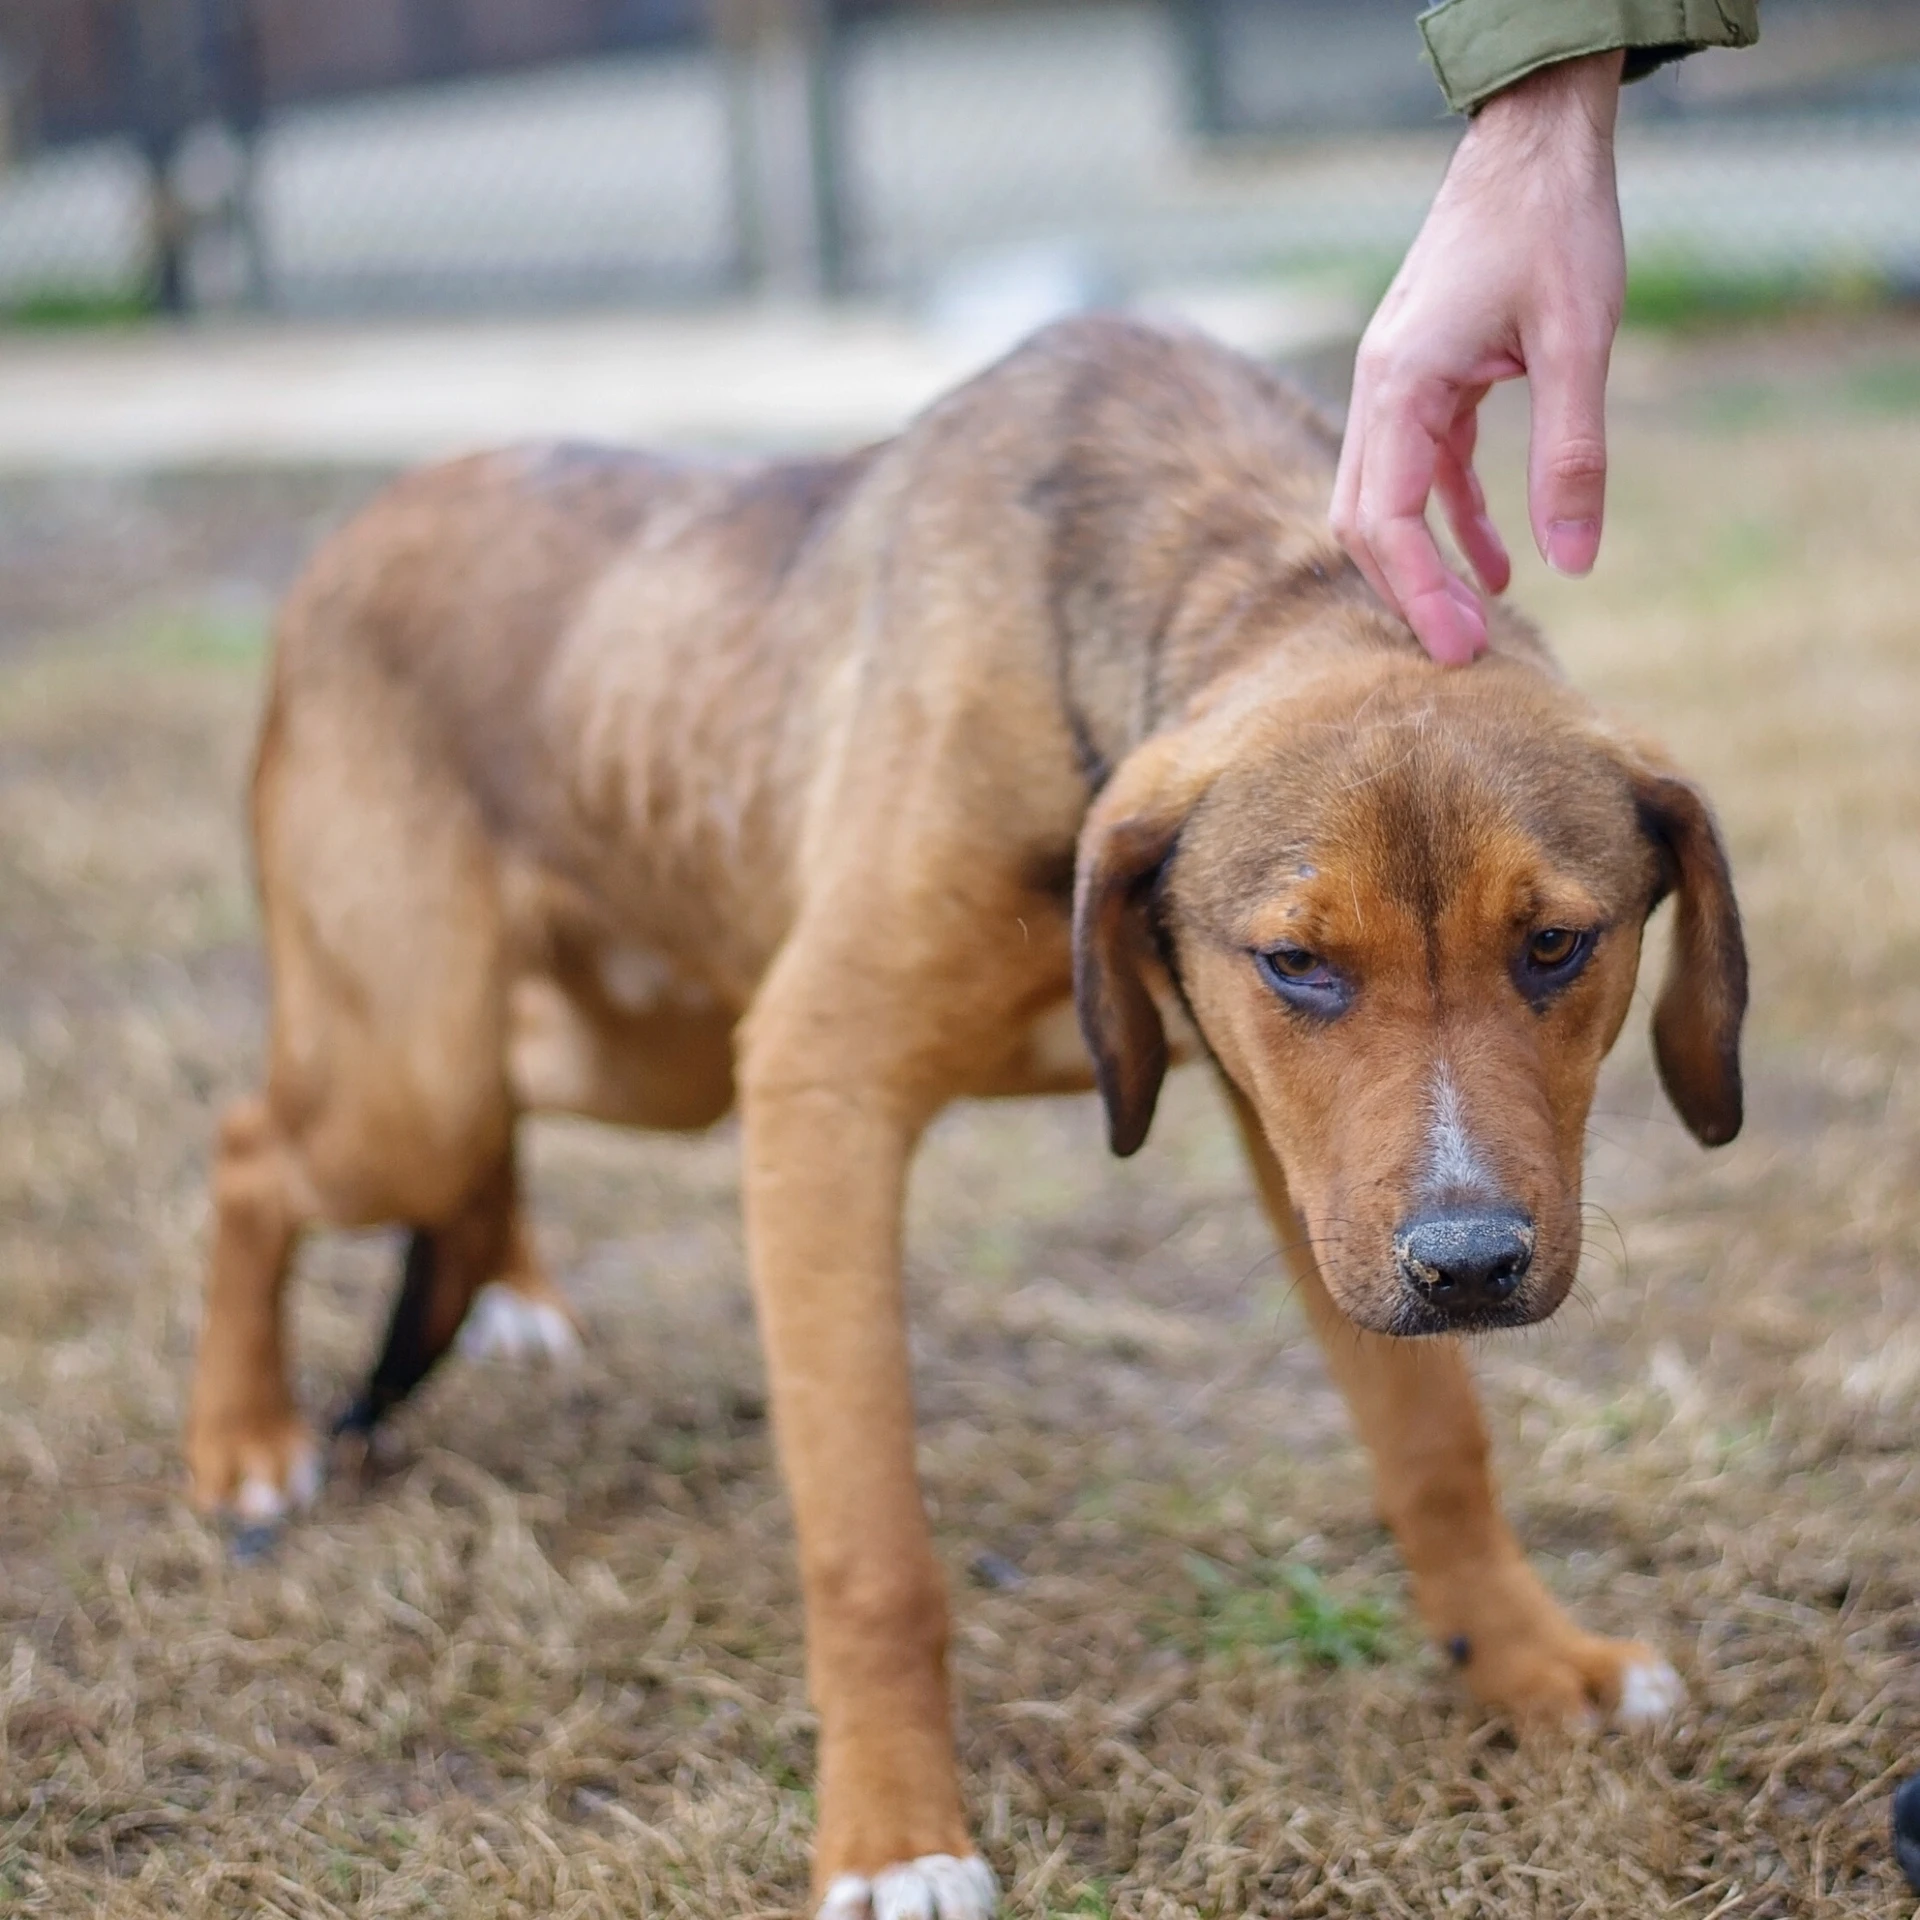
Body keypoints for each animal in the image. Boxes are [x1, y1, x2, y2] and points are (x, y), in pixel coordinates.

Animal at [191, 318, 1743, 1920]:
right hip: (417, 1076)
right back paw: (245, 1440)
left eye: (1556, 944)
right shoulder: (818, 1095)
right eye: (1298, 964)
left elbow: (1437, 1446)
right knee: (254, 1150)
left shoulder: (1319, 1179)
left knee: (490, 1103)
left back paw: (505, 1290)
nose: (1473, 1267)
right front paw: (894, 1836)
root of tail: (362, 522)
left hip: (638, 1055)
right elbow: (872, 1554)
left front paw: (1527, 1662)